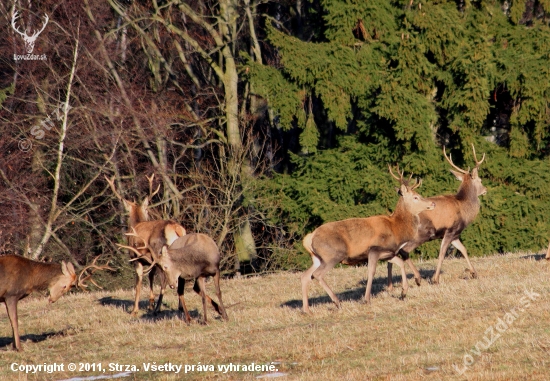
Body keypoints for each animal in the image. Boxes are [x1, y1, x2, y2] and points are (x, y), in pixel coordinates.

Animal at [105, 174, 188, 314]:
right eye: (147, 211)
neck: (136, 224)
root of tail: (176, 229)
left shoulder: (136, 258)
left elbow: (138, 283)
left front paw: (135, 310)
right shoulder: (151, 262)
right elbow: (150, 278)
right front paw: (150, 304)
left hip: (161, 253)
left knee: (165, 279)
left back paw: (158, 309)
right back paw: (179, 307)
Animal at [300, 166, 438, 312]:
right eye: (416, 197)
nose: (433, 203)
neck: (396, 229)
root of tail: (309, 238)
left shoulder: (388, 253)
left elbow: (400, 263)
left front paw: (404, 292)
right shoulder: (374, 249)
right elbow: (371, 272)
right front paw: (367, 299)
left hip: (318, 258)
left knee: (305, 276)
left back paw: (307, 310)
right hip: (333, 254)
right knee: (317, 274)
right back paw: (337, 302)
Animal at [388, 144, 488, 286]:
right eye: (480, 179)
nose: (485, 190)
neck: (464, 208)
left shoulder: (455, 234)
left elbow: (463, 249)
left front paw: (474, 273)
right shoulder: (451, 230)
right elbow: (441, 254)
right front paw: (435, 279)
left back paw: (391, 285)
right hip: (421, 235)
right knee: (404, 251)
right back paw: (417, 278)